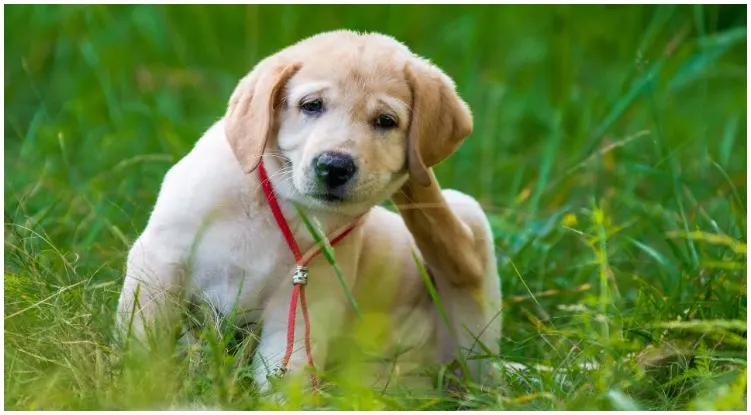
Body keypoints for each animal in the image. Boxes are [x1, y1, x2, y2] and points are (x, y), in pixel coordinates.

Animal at [117, 29, 502, 394]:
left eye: (386, 121)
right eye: (312, 106)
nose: (334, 167)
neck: (280, 206)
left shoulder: (304, 306)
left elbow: (287, 379)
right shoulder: (161, 261)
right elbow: (145, 340)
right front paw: (140, 386)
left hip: (468, 264)